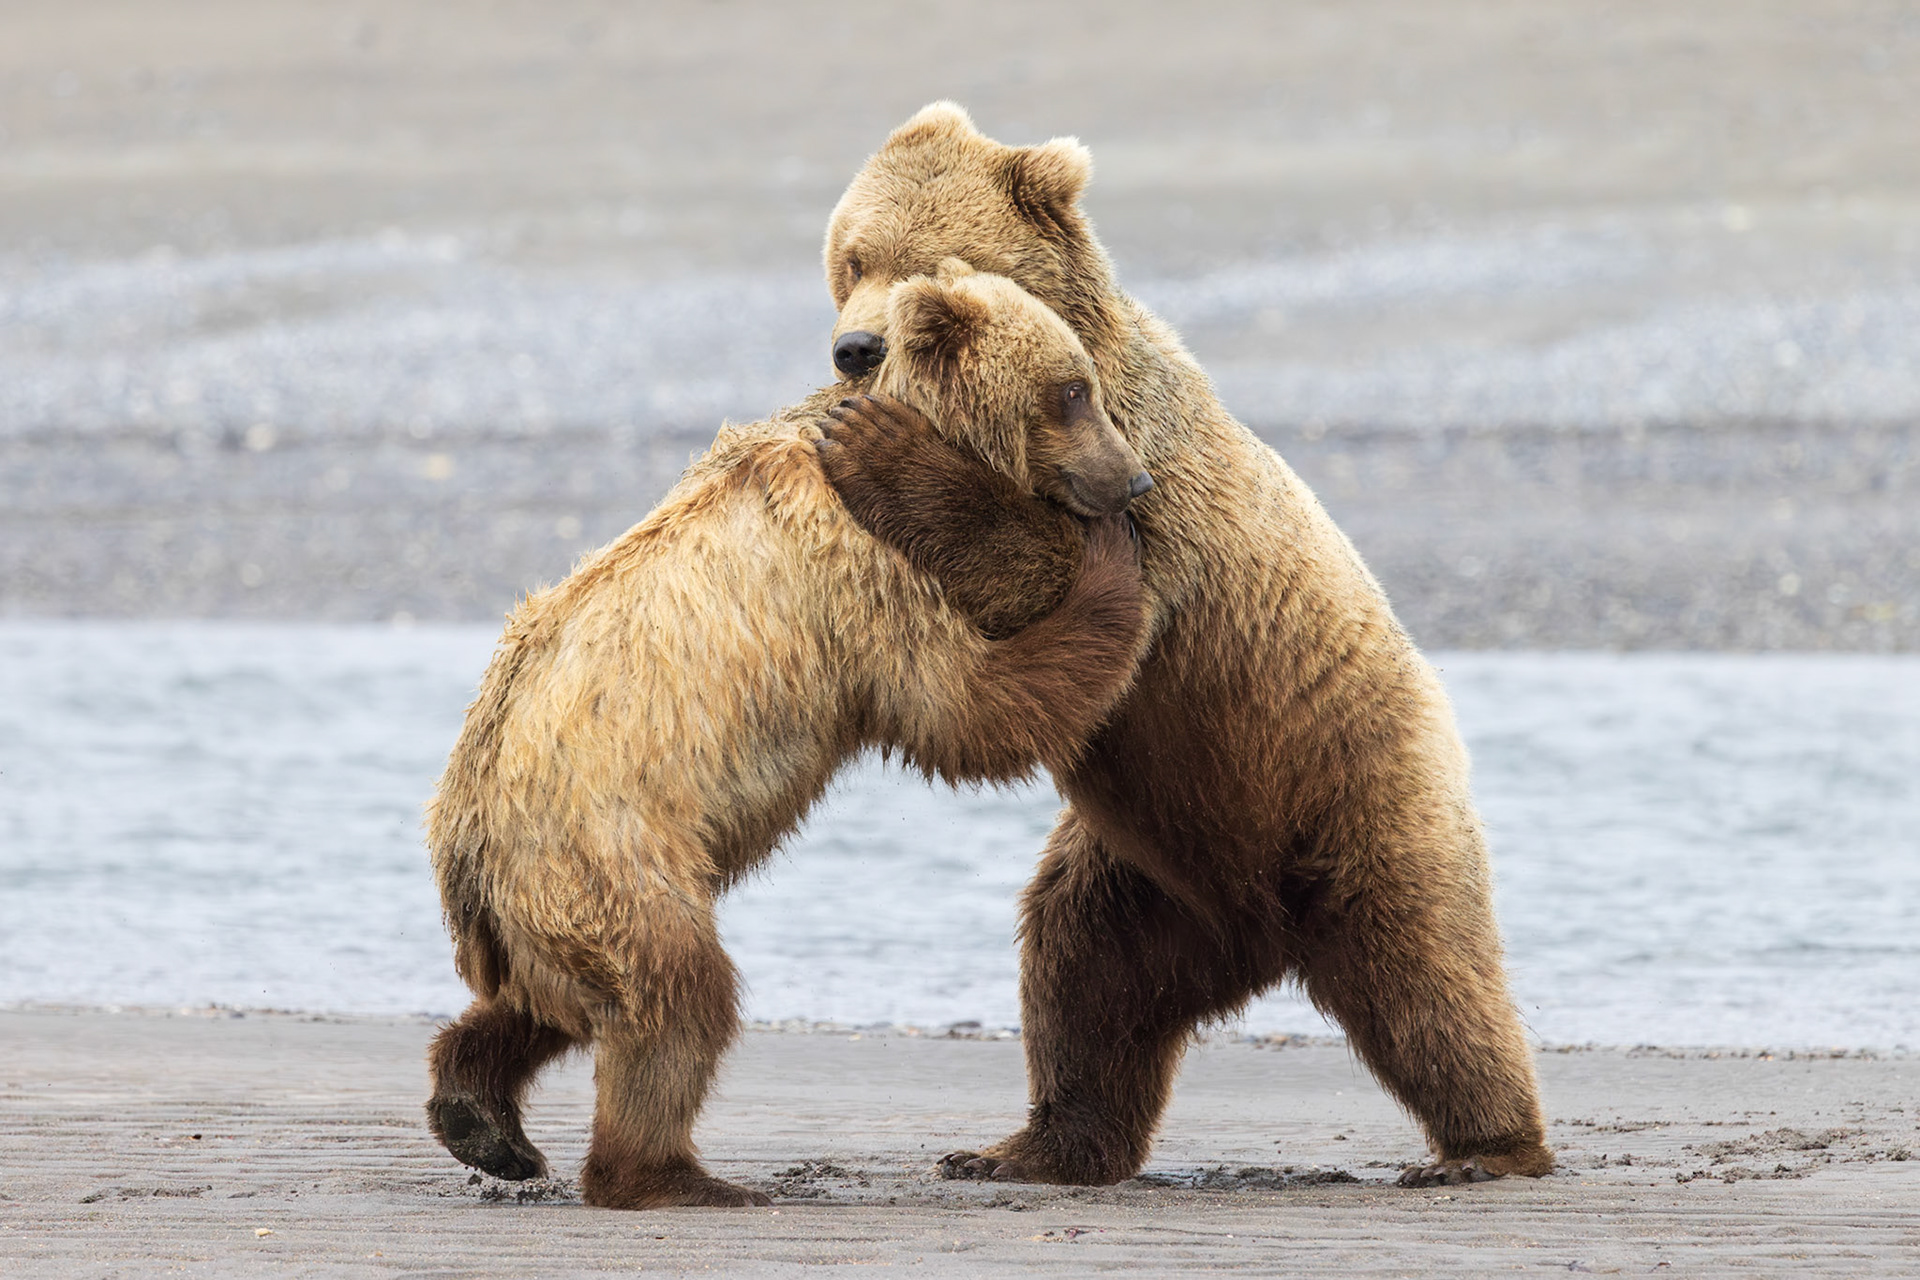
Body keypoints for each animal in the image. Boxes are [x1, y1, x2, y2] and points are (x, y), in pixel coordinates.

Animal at [423, 262, 1154, 1210]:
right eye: (1071, 391)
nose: (1132, 484)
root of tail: (462, 847)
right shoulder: (864, 567)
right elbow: (965, 709)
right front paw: (1110, 563)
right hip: (605, 849)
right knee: (675, 997)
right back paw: (672, 1175)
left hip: (540, 909)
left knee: (554, 1007)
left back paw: (480, 1113)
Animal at [814, 103, 1553, 1189]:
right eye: (853, 256)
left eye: (927, 265)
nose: (856, 350)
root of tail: (1261, 936)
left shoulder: (1142, 491)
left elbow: (1057, 591)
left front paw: (881, 452)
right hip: (1145, 871)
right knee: (1081, 977)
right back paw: (1028, 1146)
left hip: (1353, 787)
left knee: (1429, 971)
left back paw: (1488, 1147)